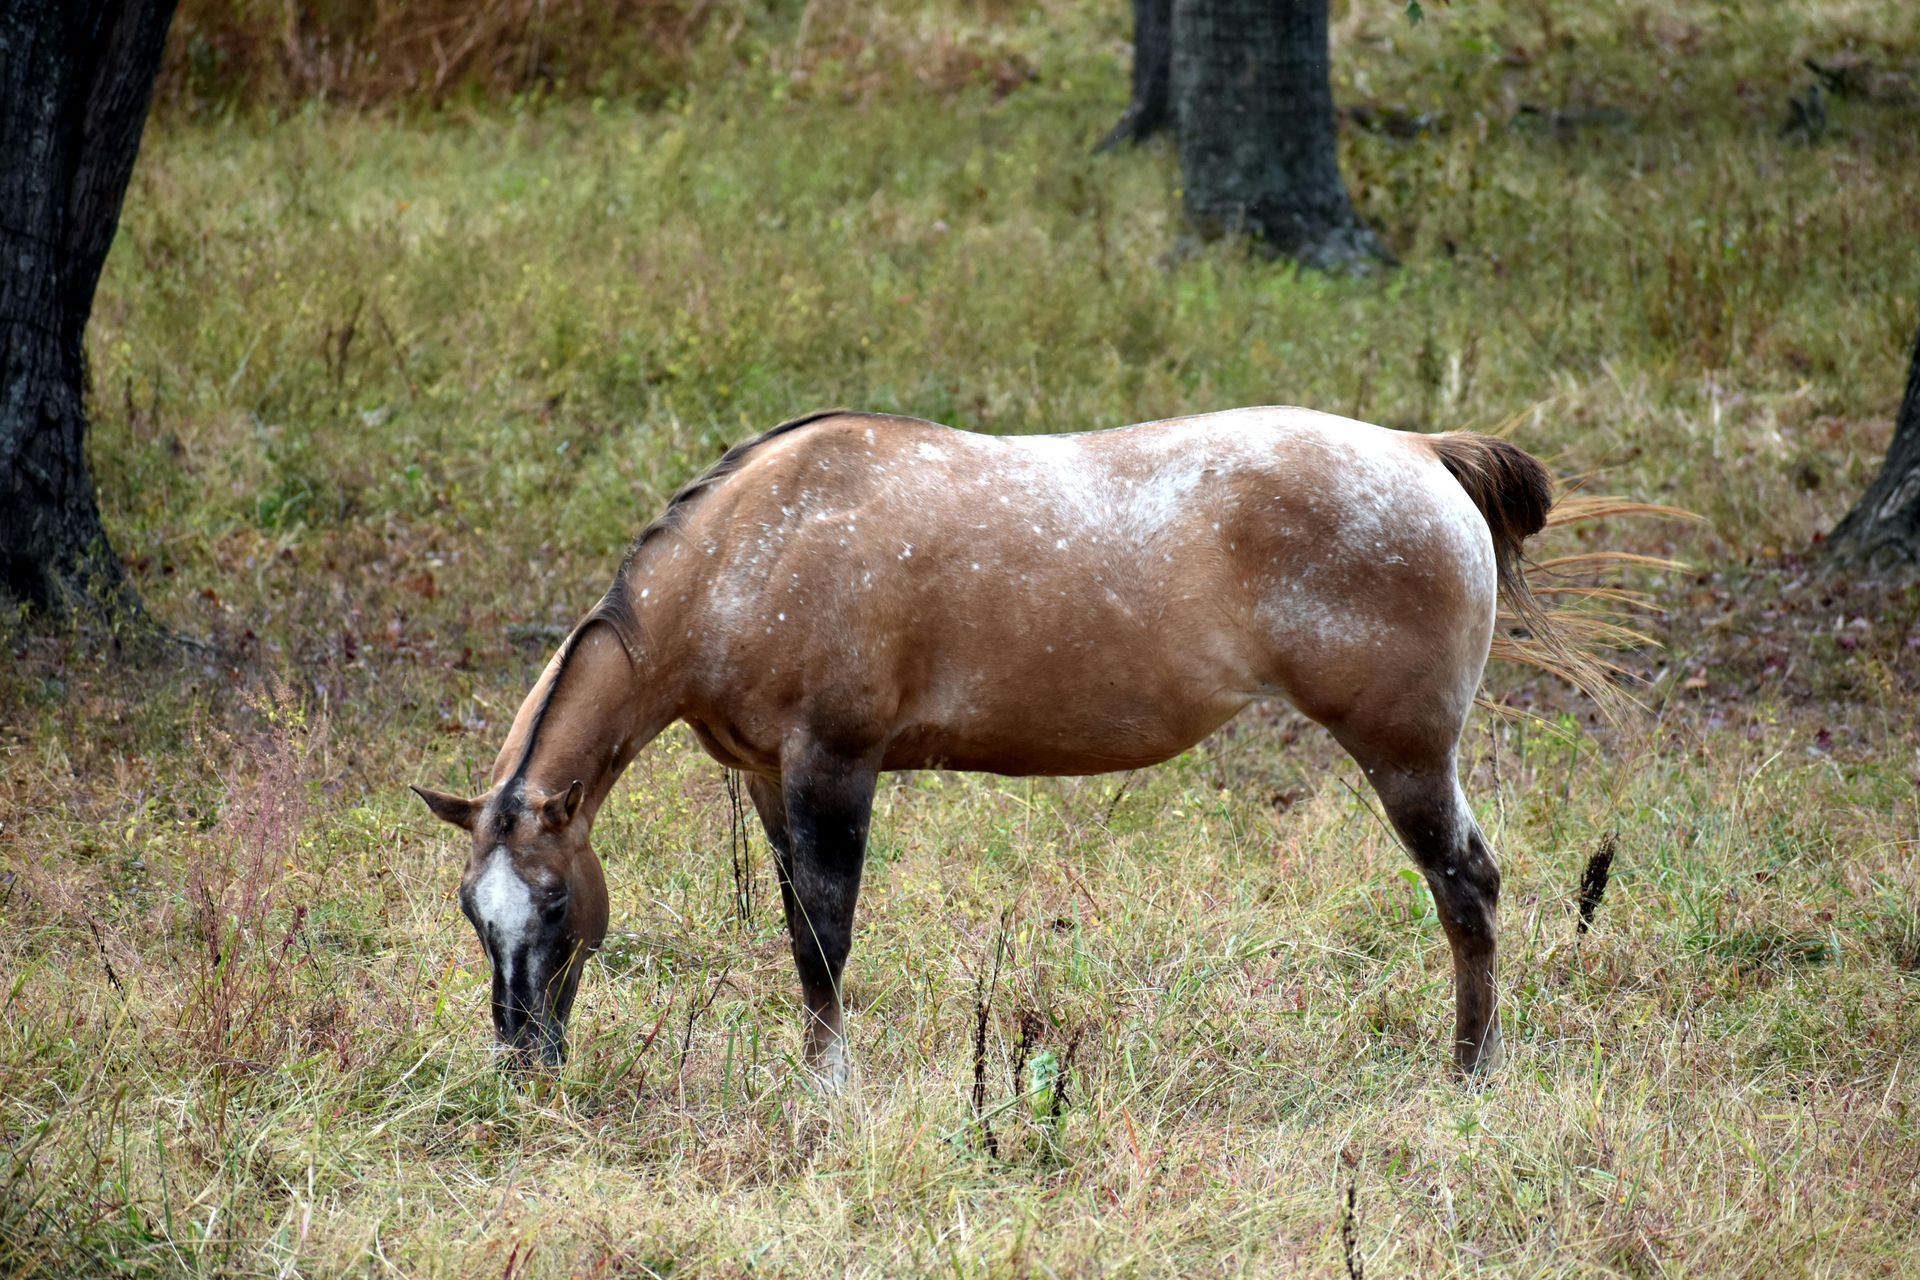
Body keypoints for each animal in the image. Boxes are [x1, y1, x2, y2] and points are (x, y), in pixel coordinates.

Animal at [413, 406, 1635, 1082]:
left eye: (555, 901)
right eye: (478, 911)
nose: (522, 1061)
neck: (753, 551)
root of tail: (1424, 453)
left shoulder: (833, 767)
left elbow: (825, 938)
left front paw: (830, 1091)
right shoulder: (768, 779)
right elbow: (803, 929)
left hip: (1407, 756)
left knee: (1467, 888)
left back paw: (1468, 1076)